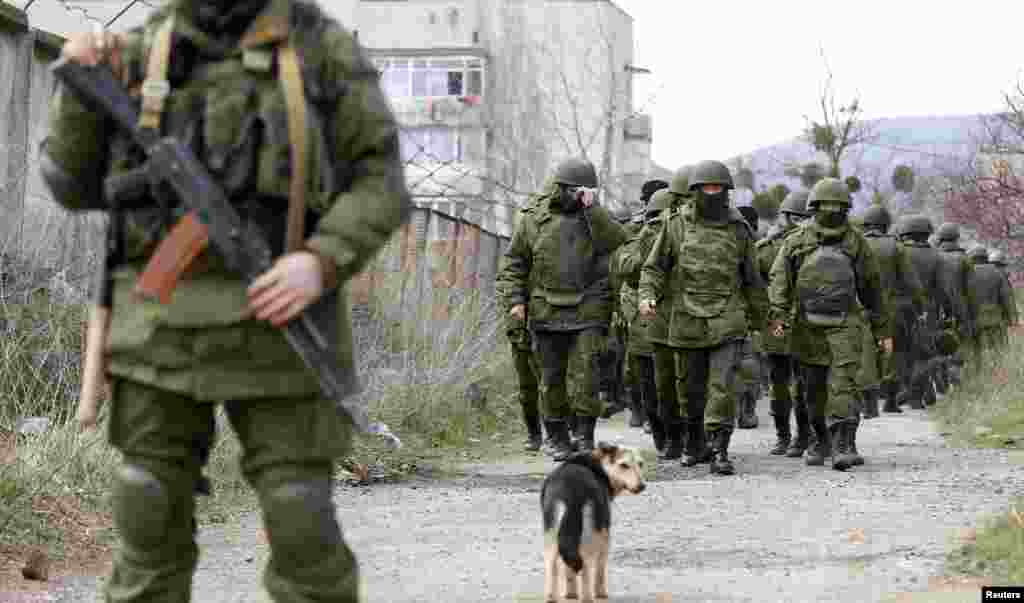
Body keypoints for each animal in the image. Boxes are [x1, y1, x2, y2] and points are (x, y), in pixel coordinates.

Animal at [540, 440, 643, 597]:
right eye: (623, 465)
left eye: (641, 464)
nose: (642, 486)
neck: (600, 466)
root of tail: (571, 492)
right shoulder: (605, 535)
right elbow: (600, 570)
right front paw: (601, 592)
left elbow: (569, 571)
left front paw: (571, 594)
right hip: (589, 539)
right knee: (587, 573)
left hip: (552, 537)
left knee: (553, 569)